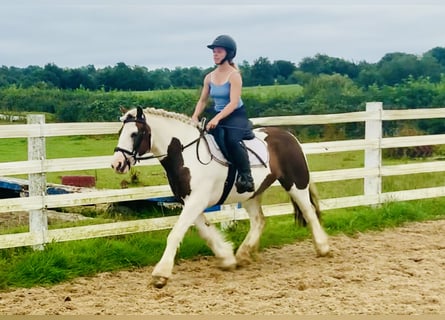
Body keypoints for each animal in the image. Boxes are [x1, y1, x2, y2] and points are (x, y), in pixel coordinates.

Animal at [110, 106, 330, 288]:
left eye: (135, 133)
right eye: (121, 133)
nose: (117, 164)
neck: (185, 155)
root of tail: (289, 136)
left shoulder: (196, 202)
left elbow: (175, 234)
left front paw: (160, 275)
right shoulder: (189, 202)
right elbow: (205, 231)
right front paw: (226, 257)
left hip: (296, 184)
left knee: (309, 213)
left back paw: (323, 248)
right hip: (251, 194)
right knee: (259, 220)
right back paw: (242, 255)